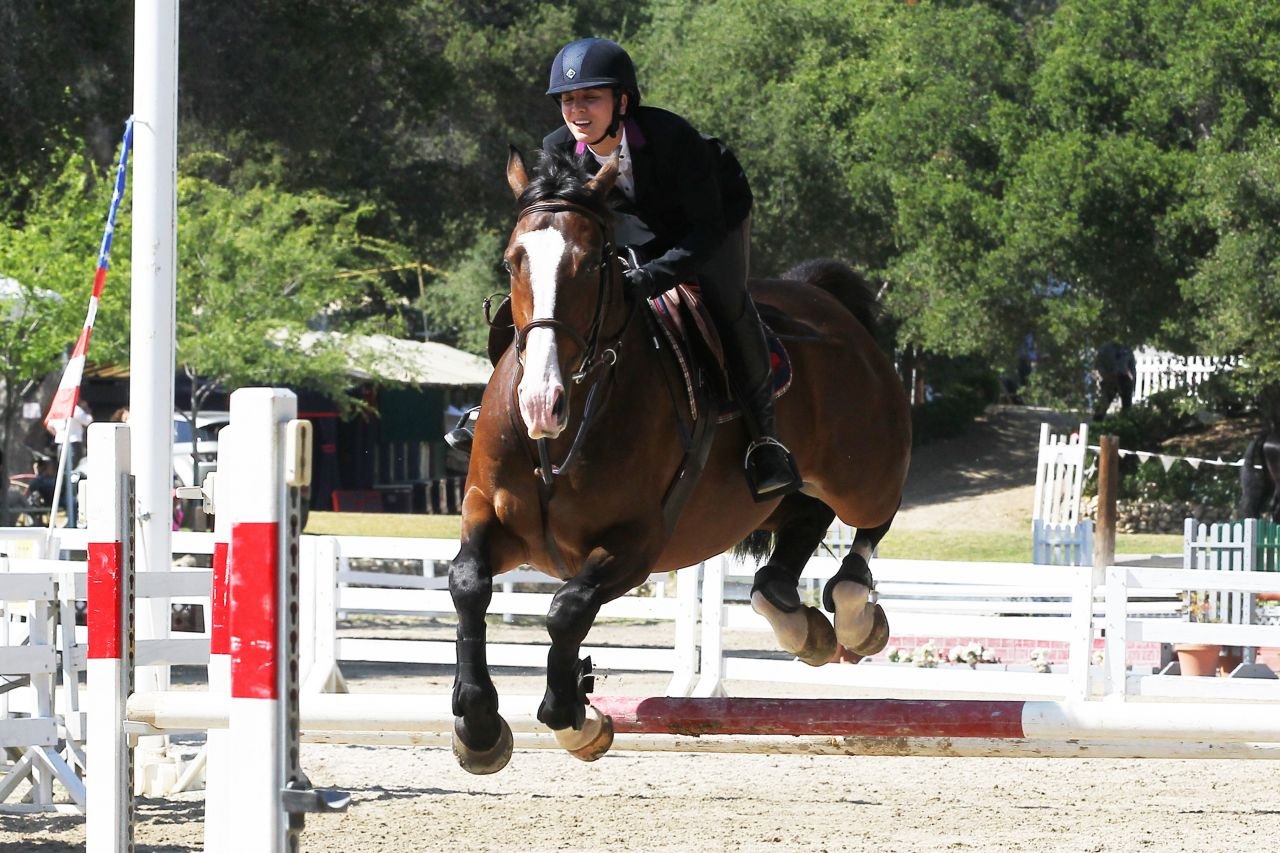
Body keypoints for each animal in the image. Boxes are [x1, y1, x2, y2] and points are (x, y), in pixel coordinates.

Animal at [447, 147, 911, 774]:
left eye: (591, 265)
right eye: (512, 261)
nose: (542, 402)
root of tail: (823, 298)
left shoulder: (636, 544)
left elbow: (567, 609)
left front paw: (576, 720)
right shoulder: (488, 515)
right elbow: (468, 583)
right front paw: (477, 725)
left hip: (862, 470)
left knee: (872, 517)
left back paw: (856, 612)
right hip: (775, 498)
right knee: (796, 533)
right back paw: (799, 623)